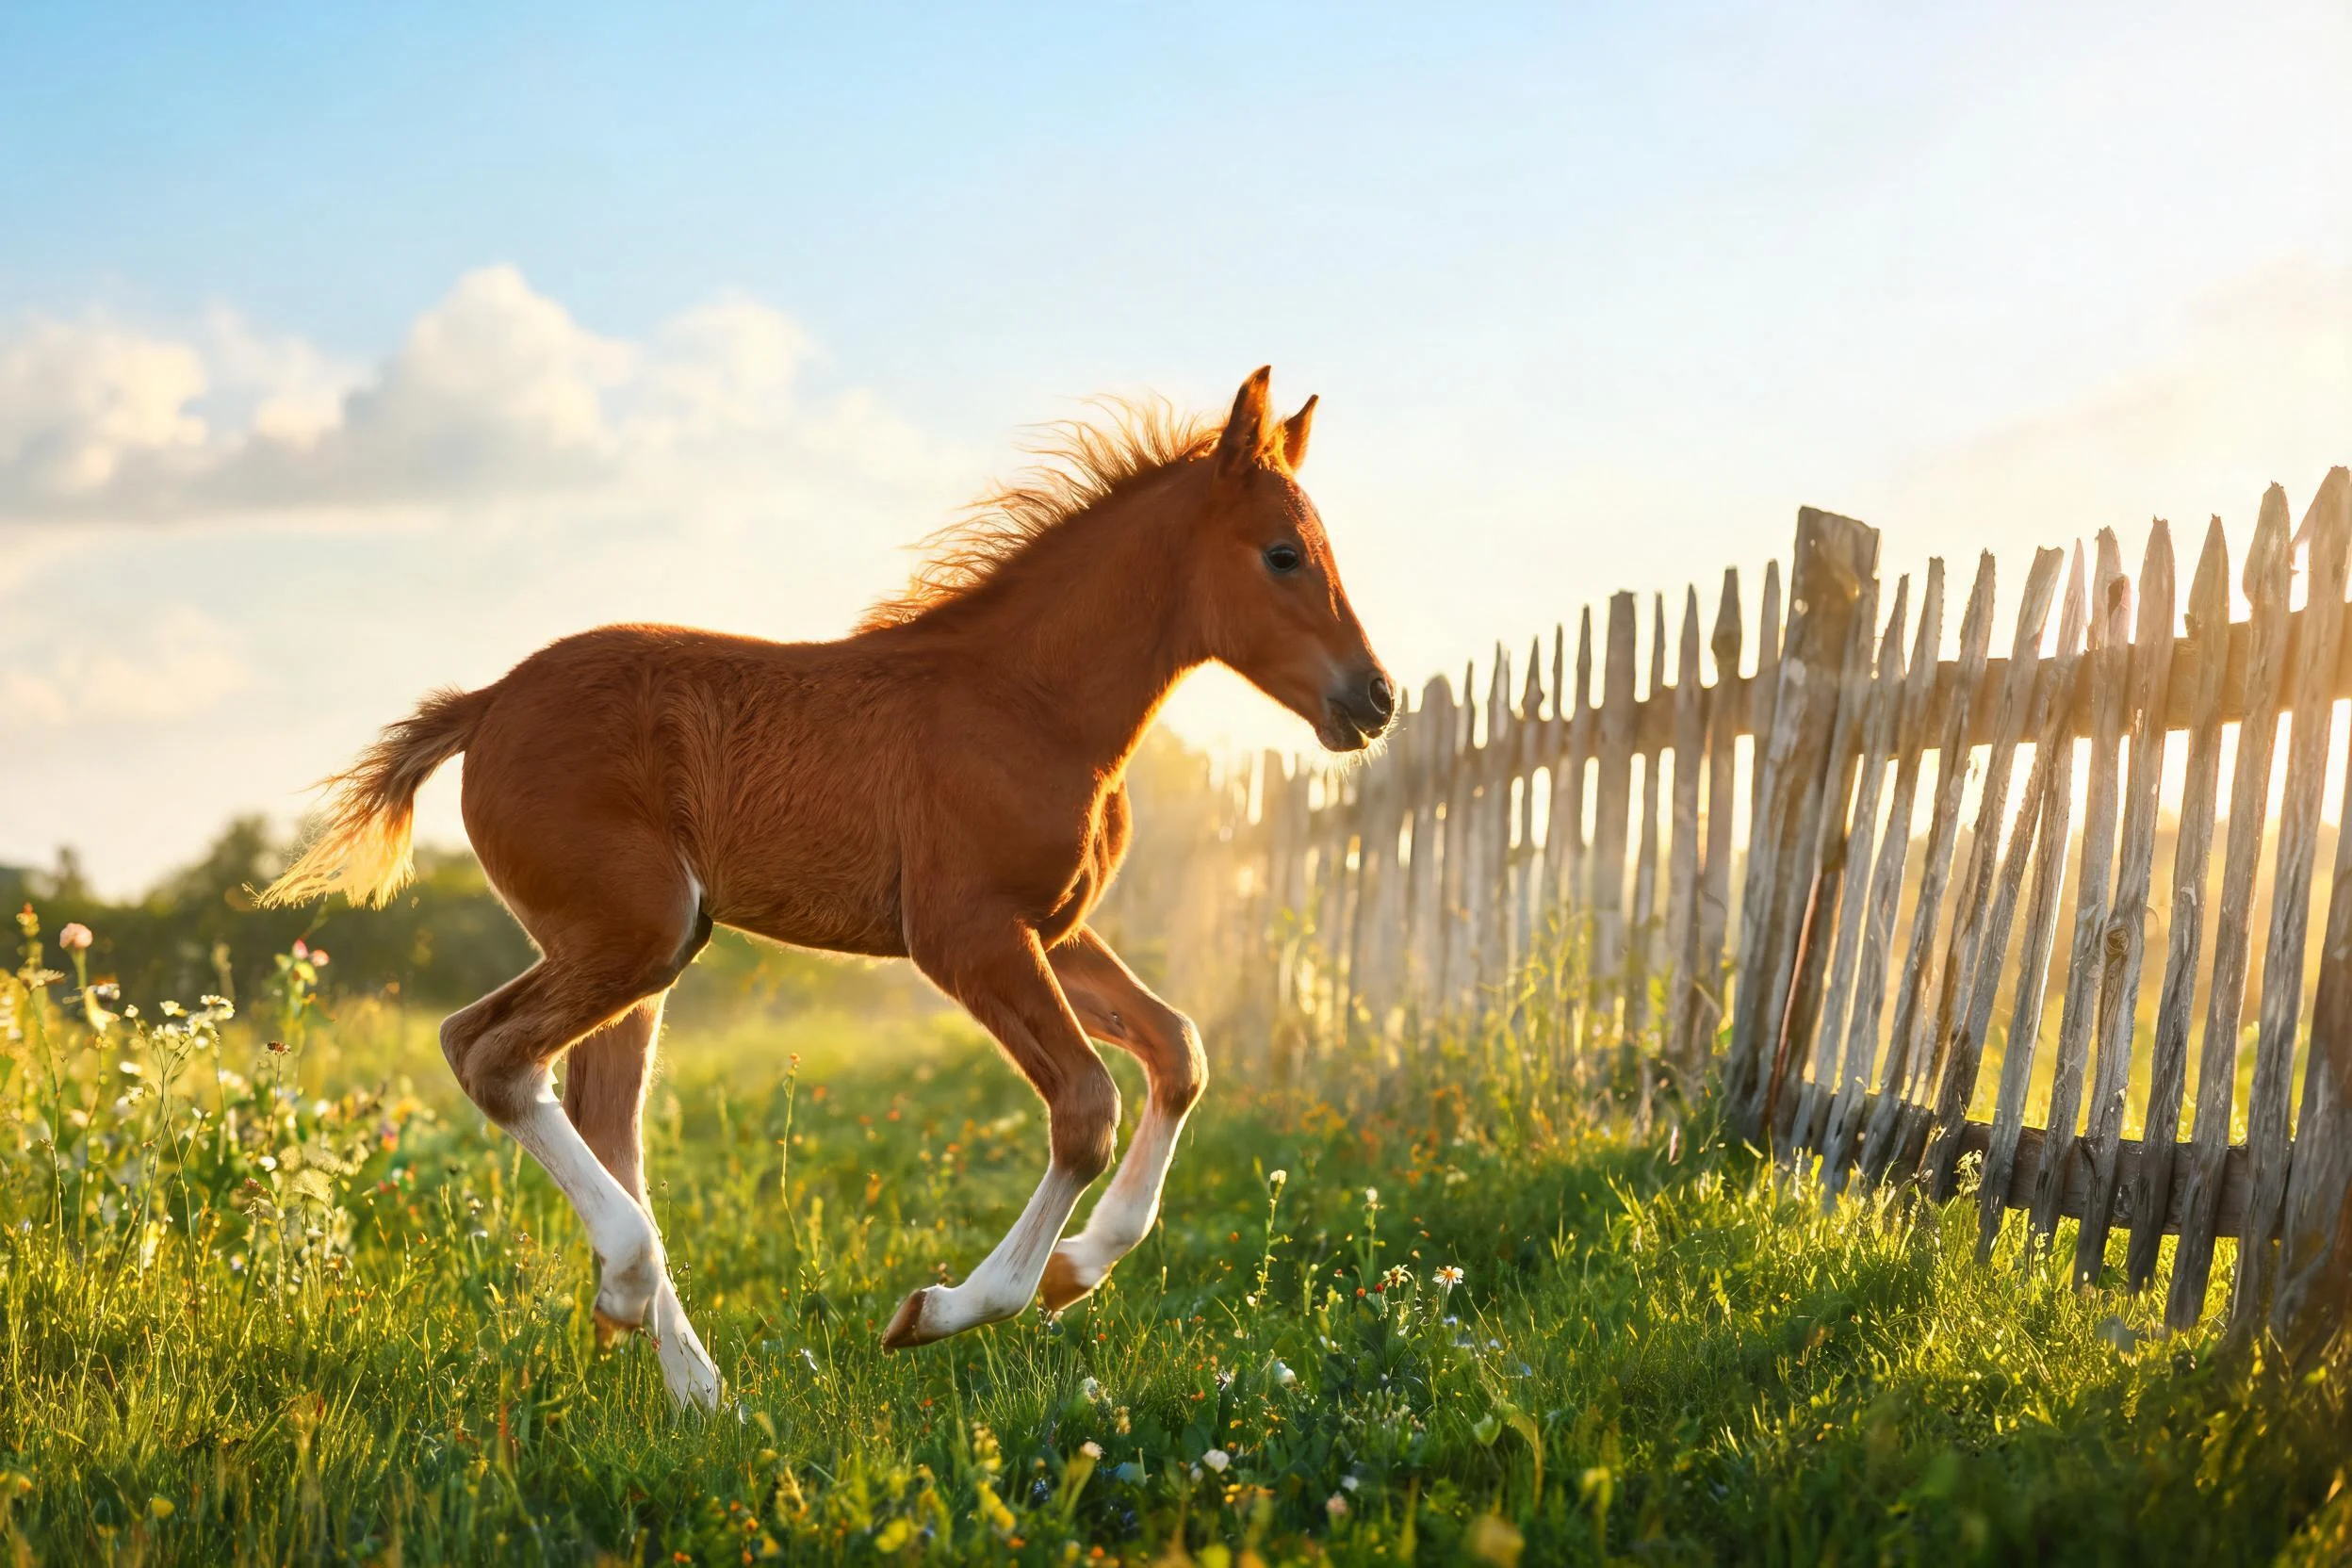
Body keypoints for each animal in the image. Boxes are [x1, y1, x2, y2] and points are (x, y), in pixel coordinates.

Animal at [261, 367, 1393, 1409]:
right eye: (1284, 555)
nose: (1374, 698)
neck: (1031, 701)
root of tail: (489, 702)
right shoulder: (966, 934)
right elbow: (1085, 1106)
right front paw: (943, 1308)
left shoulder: (1055, 928)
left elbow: (1179, 1051)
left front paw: (1078, 1269)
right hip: (638, 931)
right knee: (490, 1054)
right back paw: (630, 1293)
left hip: (637, 950)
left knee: (598, 1114)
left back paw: (697, 1385)